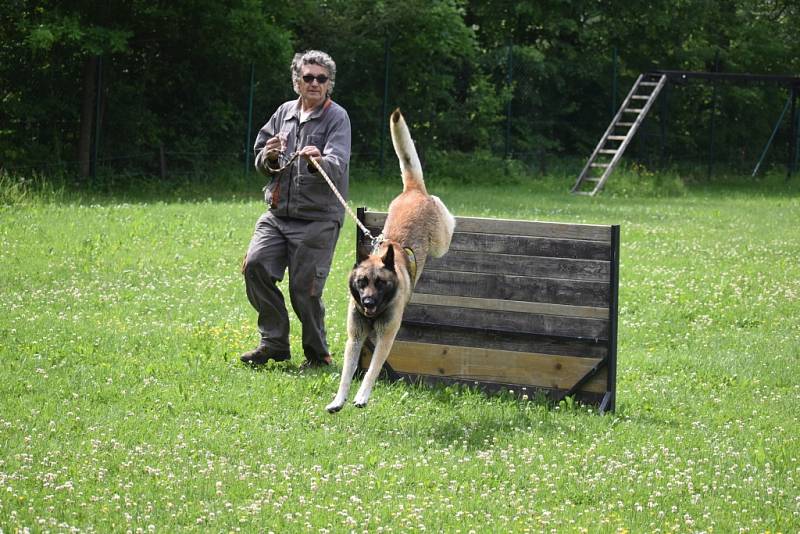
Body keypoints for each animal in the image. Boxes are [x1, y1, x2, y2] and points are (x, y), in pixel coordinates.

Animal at [324, 109, 454, 414]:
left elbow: (371, 370)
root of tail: (413, 191)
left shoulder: (386, 338)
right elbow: (346, 374)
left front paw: (362, 396)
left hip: (441, 241)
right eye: (361, 282)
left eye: (381, 283)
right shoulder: (355, 338)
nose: (368, 302)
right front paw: (338, 400)